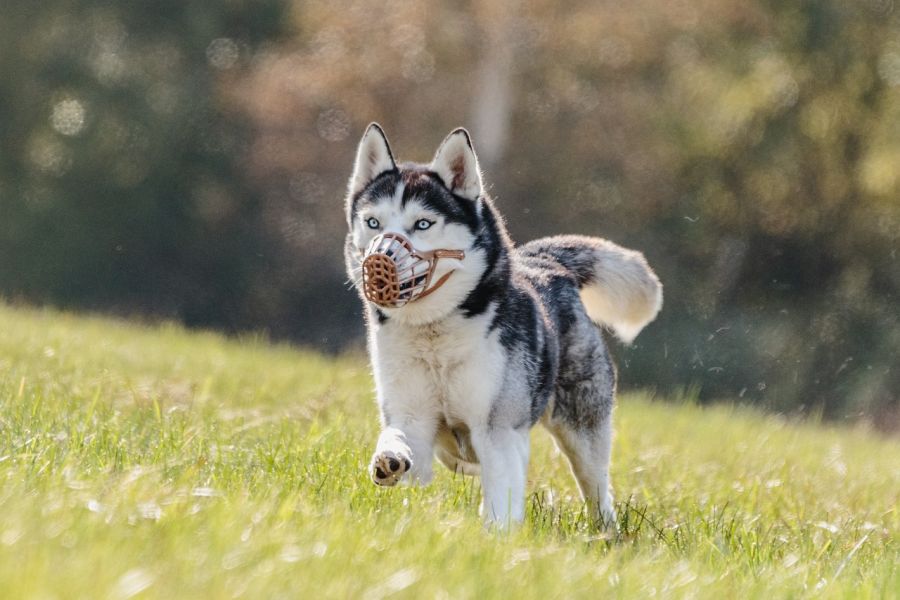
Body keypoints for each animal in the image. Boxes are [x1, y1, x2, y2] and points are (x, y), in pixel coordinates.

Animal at [344, 124, 660, 528]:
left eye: (423, 224)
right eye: (373, 223)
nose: (378, 261)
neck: (435, 338)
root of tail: (547, 263)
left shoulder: (498, 430)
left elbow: (501, 497)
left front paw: (496, 535)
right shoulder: (412, 414)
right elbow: (401, 441)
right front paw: (390, 458)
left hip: (583, 430)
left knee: (597, 488)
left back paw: (606, 530)